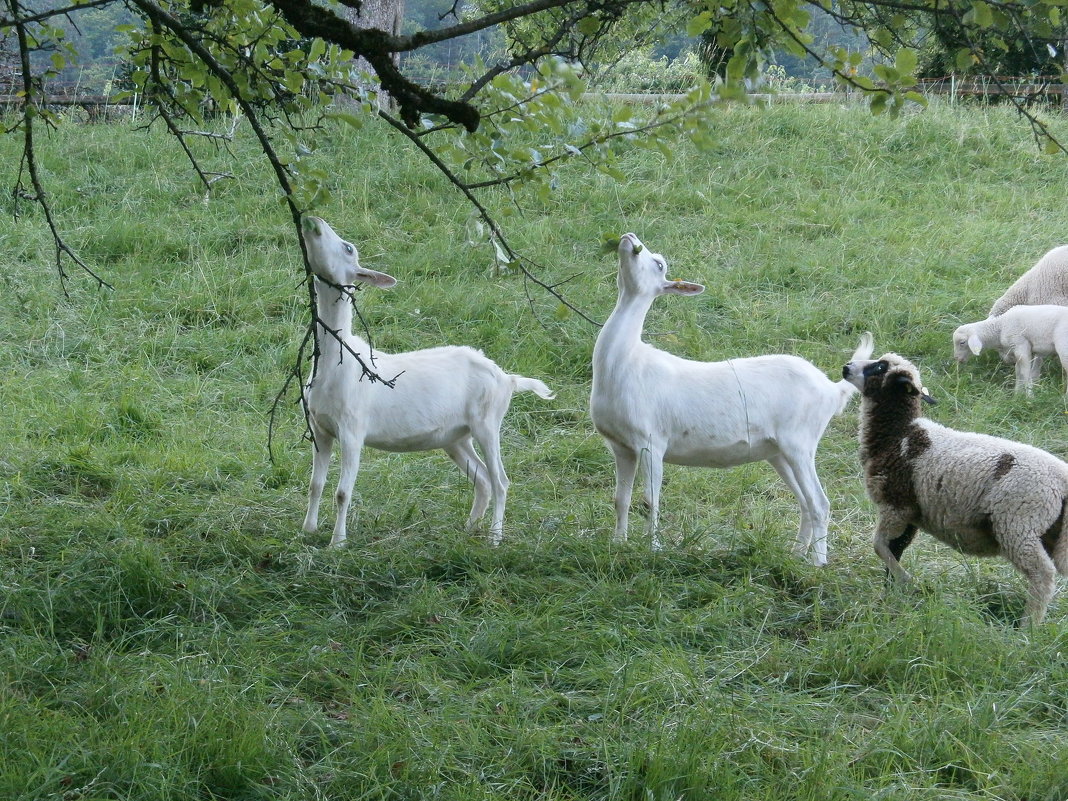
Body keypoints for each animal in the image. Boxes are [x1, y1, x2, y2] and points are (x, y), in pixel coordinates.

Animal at [299, 216, 555, 551]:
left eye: (349, 247)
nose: (312, 220)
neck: (336, 367)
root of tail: (509, 379)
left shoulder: (353, 429)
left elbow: (342, 493)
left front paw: (337, 543)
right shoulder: (320, 427)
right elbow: (315, 484)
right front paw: (307, 531)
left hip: (488, 422)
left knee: (500, 480)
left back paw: (494, 539)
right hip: (456, 437)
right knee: (483, 479)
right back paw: (468, 529)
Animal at [589, 231, 871, 563]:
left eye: (659, 263)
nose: (629, 237)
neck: (627, 363)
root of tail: (831, 389)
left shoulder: (651, 442)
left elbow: (649, 501)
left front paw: (653, 550)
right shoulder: (621, 446)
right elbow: (620, 498)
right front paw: (617, 545)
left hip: (800, 442)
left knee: (820, 502)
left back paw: (818, 563)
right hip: (778, 451)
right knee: (804, 502)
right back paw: (795, 554)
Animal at [841, 352, 1068, 627]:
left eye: (880, 367)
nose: (846, 368)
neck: (899, 434)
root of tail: (1063, 481)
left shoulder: (895, 505)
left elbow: (879, 546)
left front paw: (906, 581)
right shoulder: (911, 514)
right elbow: (896, 549)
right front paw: (892, 594)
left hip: (1019, 524)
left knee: (1042, 574)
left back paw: (1028, 627)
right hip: (1049, 532)